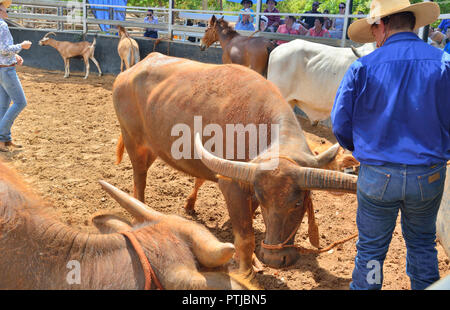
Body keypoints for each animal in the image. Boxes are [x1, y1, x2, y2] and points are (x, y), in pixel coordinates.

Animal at [113, 52, 358, 278]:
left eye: (298, 203)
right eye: (266, 204)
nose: (274, 259)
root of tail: (131, 71)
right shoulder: (231, 184)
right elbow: (245, 237)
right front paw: (247, 272)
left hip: (153, 147)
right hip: (134, 142)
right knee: (139, 180)